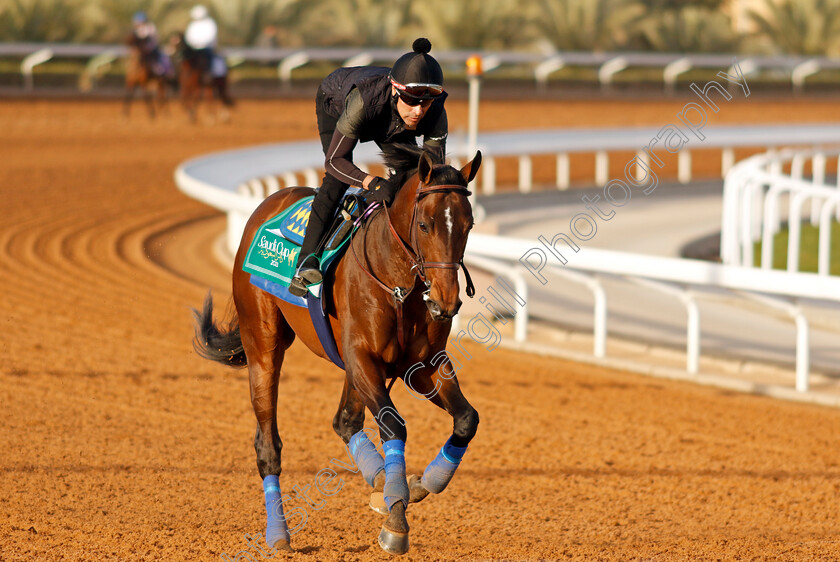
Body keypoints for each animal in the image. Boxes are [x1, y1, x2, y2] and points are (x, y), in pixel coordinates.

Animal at [191, 143, 480, 552]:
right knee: (268, 444)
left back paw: (380, 481)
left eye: (468, 225)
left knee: (344, 421)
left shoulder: (422, 366)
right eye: (425, 224)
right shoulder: (362, 358)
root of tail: (270, 202)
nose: (446, 302)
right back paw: (278, 534)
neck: (398, 286)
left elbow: (466, 419)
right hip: (263, 343)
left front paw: (423, 483)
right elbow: (393, 425)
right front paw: (396, 524)